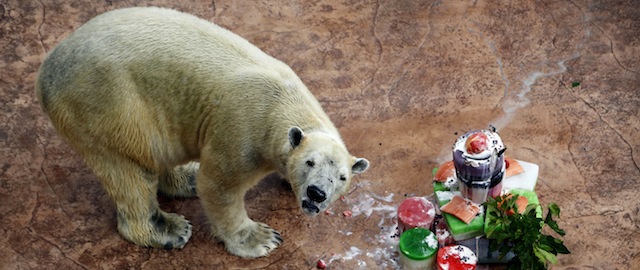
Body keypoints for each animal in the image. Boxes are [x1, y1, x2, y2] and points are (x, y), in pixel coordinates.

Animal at [36, 7, 370, 258]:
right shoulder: (243, 129)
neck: (283, 100)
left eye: (342, 178)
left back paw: (187, 176)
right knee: (129, 169)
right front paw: (262, 238)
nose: (316, 193)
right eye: (309, 163)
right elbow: (219, 185)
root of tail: (46, 72)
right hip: (107, 106)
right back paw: (170, 229)